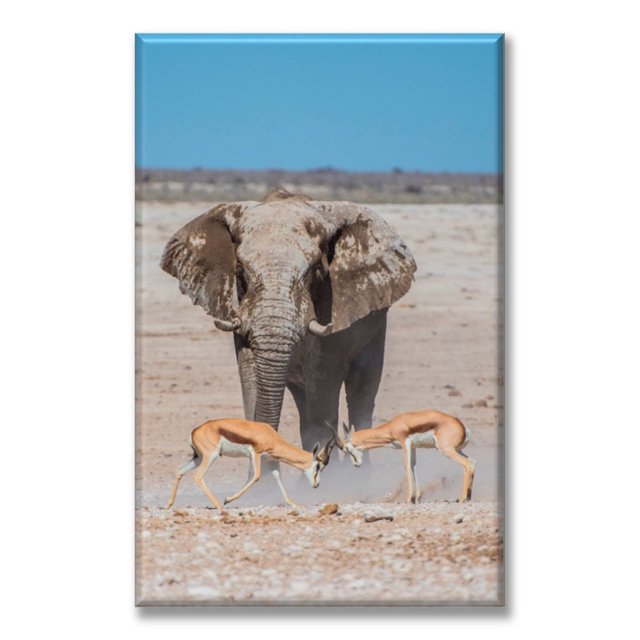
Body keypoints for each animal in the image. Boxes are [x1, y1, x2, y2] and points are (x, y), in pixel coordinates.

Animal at [160, 188, 416, 453]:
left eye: (316, 270)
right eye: (240, 271)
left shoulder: (331, 309)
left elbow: (322, 401)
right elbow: (251, 386)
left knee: (360, 394)